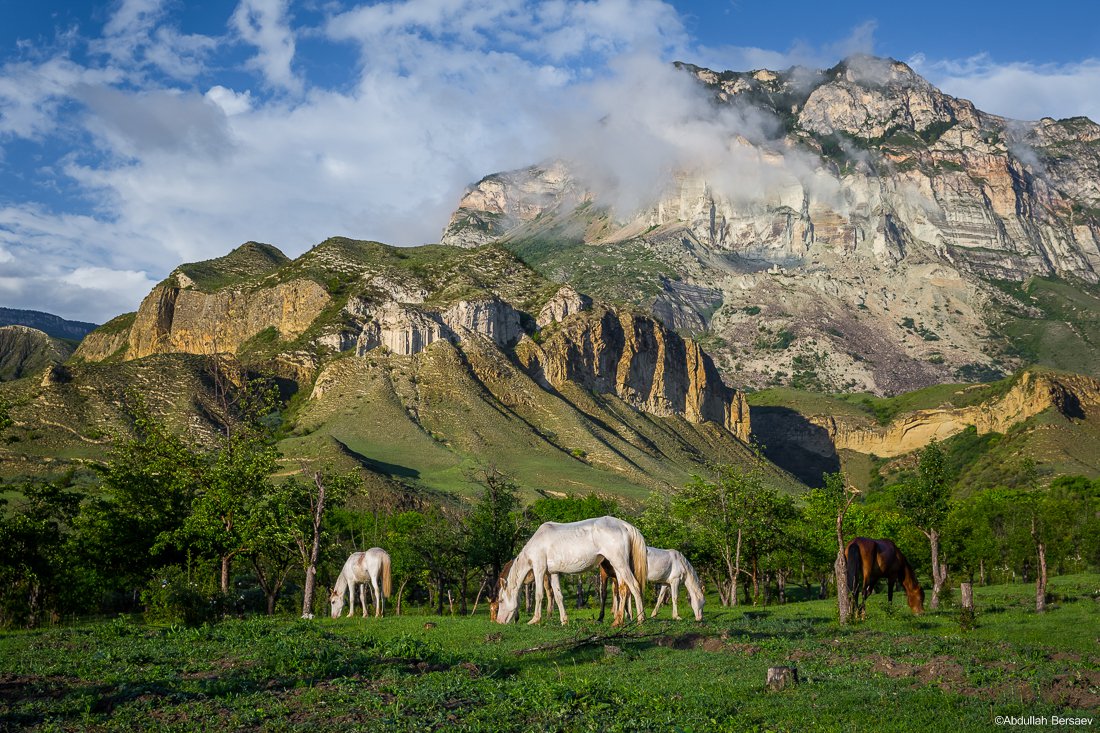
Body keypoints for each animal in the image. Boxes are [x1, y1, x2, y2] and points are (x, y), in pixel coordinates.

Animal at [497, 510, 642, 625]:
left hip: (620, 564)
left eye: (500, 600)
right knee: (623, 590)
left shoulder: (539, 569)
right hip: (617, 567)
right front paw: (564, 621)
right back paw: (618, 621)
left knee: (634, 586)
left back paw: (640, 619)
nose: (498, 621)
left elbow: (539, 595)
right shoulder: (553, 573)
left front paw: (535, 619)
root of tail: (624, 526)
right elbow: (558, 596)